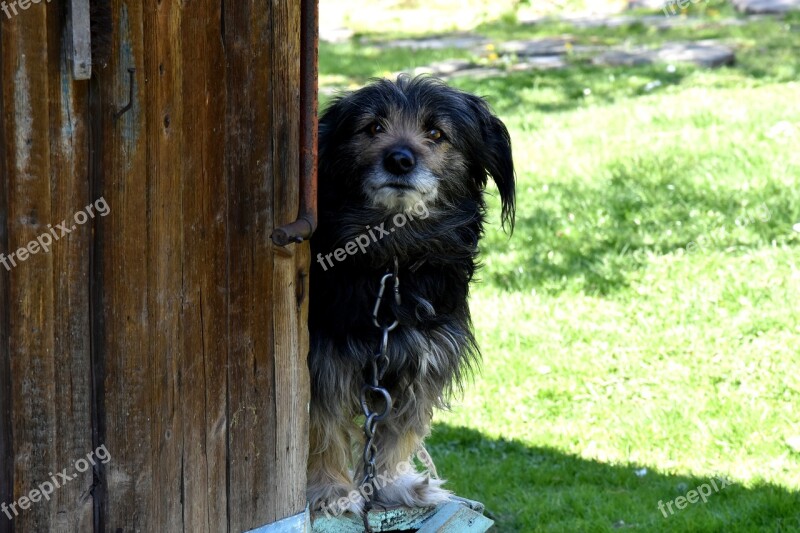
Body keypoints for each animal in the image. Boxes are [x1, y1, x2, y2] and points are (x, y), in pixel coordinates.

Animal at [306, 75, 512, 516]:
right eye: (373, 127)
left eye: (436, 133)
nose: (399, 160)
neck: (394, 260)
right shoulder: (324, 360)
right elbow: (323, 427)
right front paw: (330, 490)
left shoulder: (424, 359)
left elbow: (399, 430)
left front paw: (392, 487)